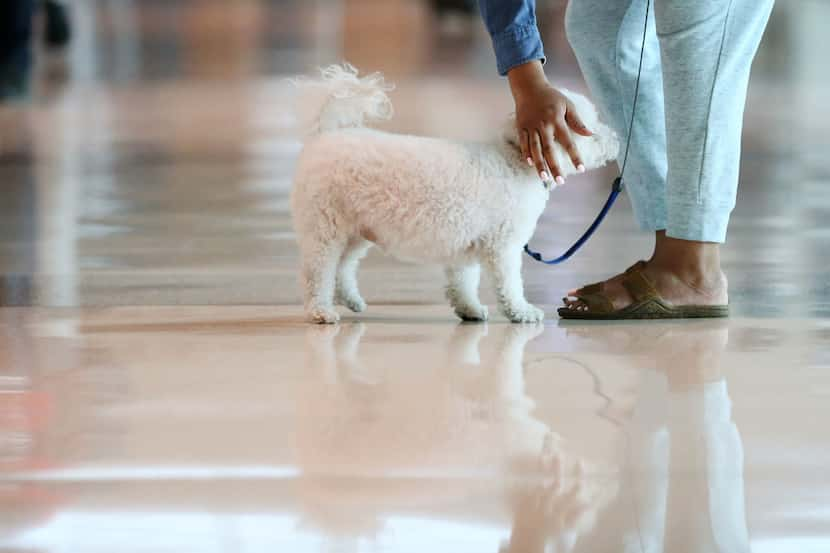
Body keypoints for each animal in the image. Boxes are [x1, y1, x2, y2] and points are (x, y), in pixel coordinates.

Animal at [292, 64, 616, 324]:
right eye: (588, 128)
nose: (616, 139)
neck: (514, 160)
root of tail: (327, 135)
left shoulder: (466, 241)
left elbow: (463, 282)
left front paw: (469, 309)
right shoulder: (504, 245)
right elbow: (510, 284)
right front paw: (521, 311)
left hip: (356, 229)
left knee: (343, 268)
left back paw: (351, 300)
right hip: (325, 228)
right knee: (318, 273)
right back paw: (321, 311)